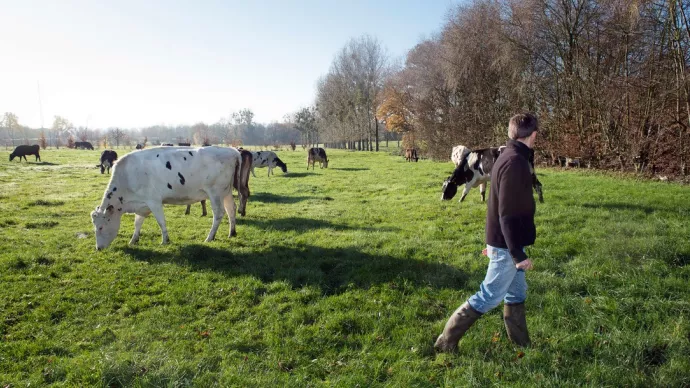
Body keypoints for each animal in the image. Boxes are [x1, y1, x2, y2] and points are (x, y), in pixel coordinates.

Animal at [90, 145, 242, 249]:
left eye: (101, 227)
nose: (98, 248)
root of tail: (232, 151)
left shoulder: (154, 201)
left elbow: (161, 221)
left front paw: (165, 240)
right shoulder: (142, 204)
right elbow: (138, 223)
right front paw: (133, 240)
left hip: (215, 192)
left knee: (219, 214)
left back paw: (210, 237)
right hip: (226, 192)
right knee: (231, 209)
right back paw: (232, 232)